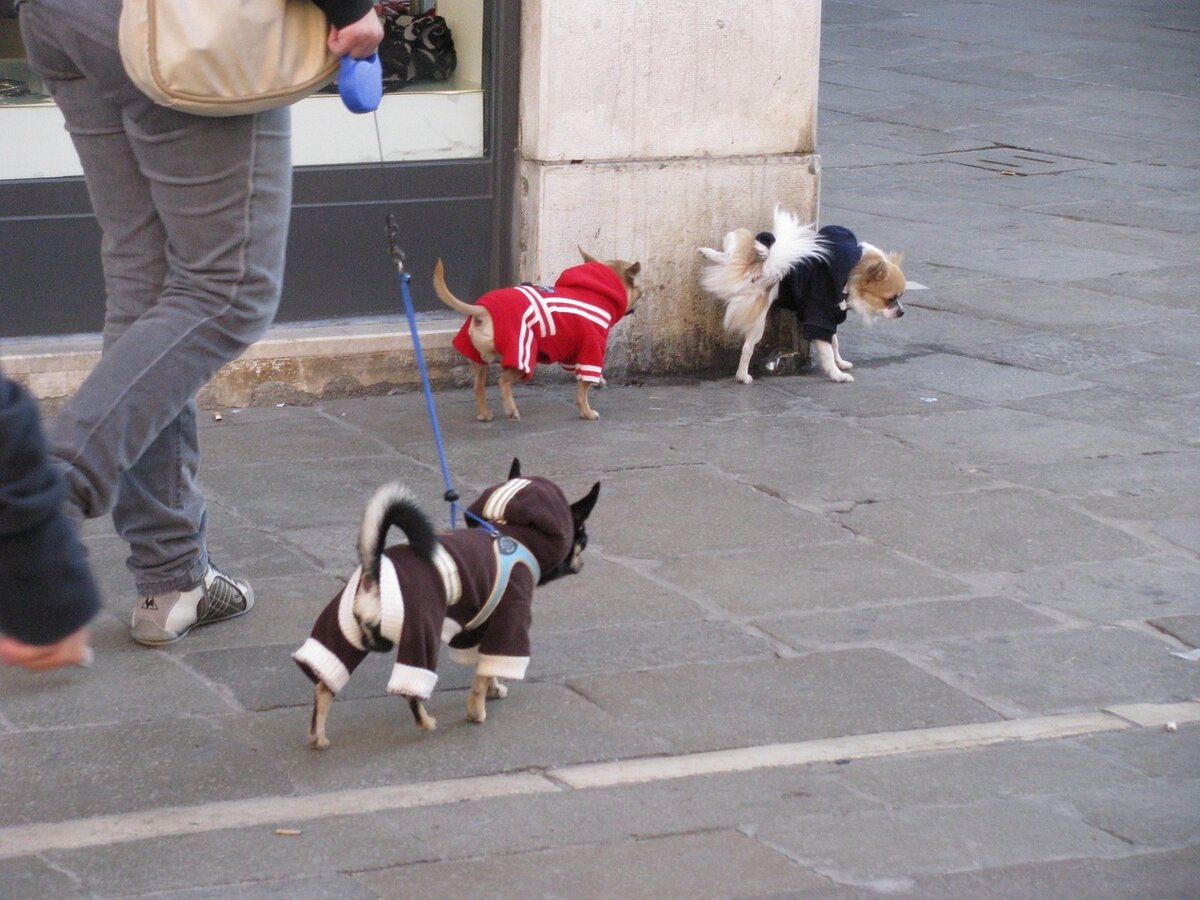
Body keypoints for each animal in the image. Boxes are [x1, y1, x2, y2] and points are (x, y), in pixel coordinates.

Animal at [432, 250, 638, 422]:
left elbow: (584, 376)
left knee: (478, 386)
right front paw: (587, 412)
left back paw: (484, 414)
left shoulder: (574, 355)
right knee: (503, 380)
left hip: (478, 360)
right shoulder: (592, 347)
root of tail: (483, 310)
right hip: (523, 355)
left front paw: (600, 381)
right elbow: (583, 389)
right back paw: (511, 410)